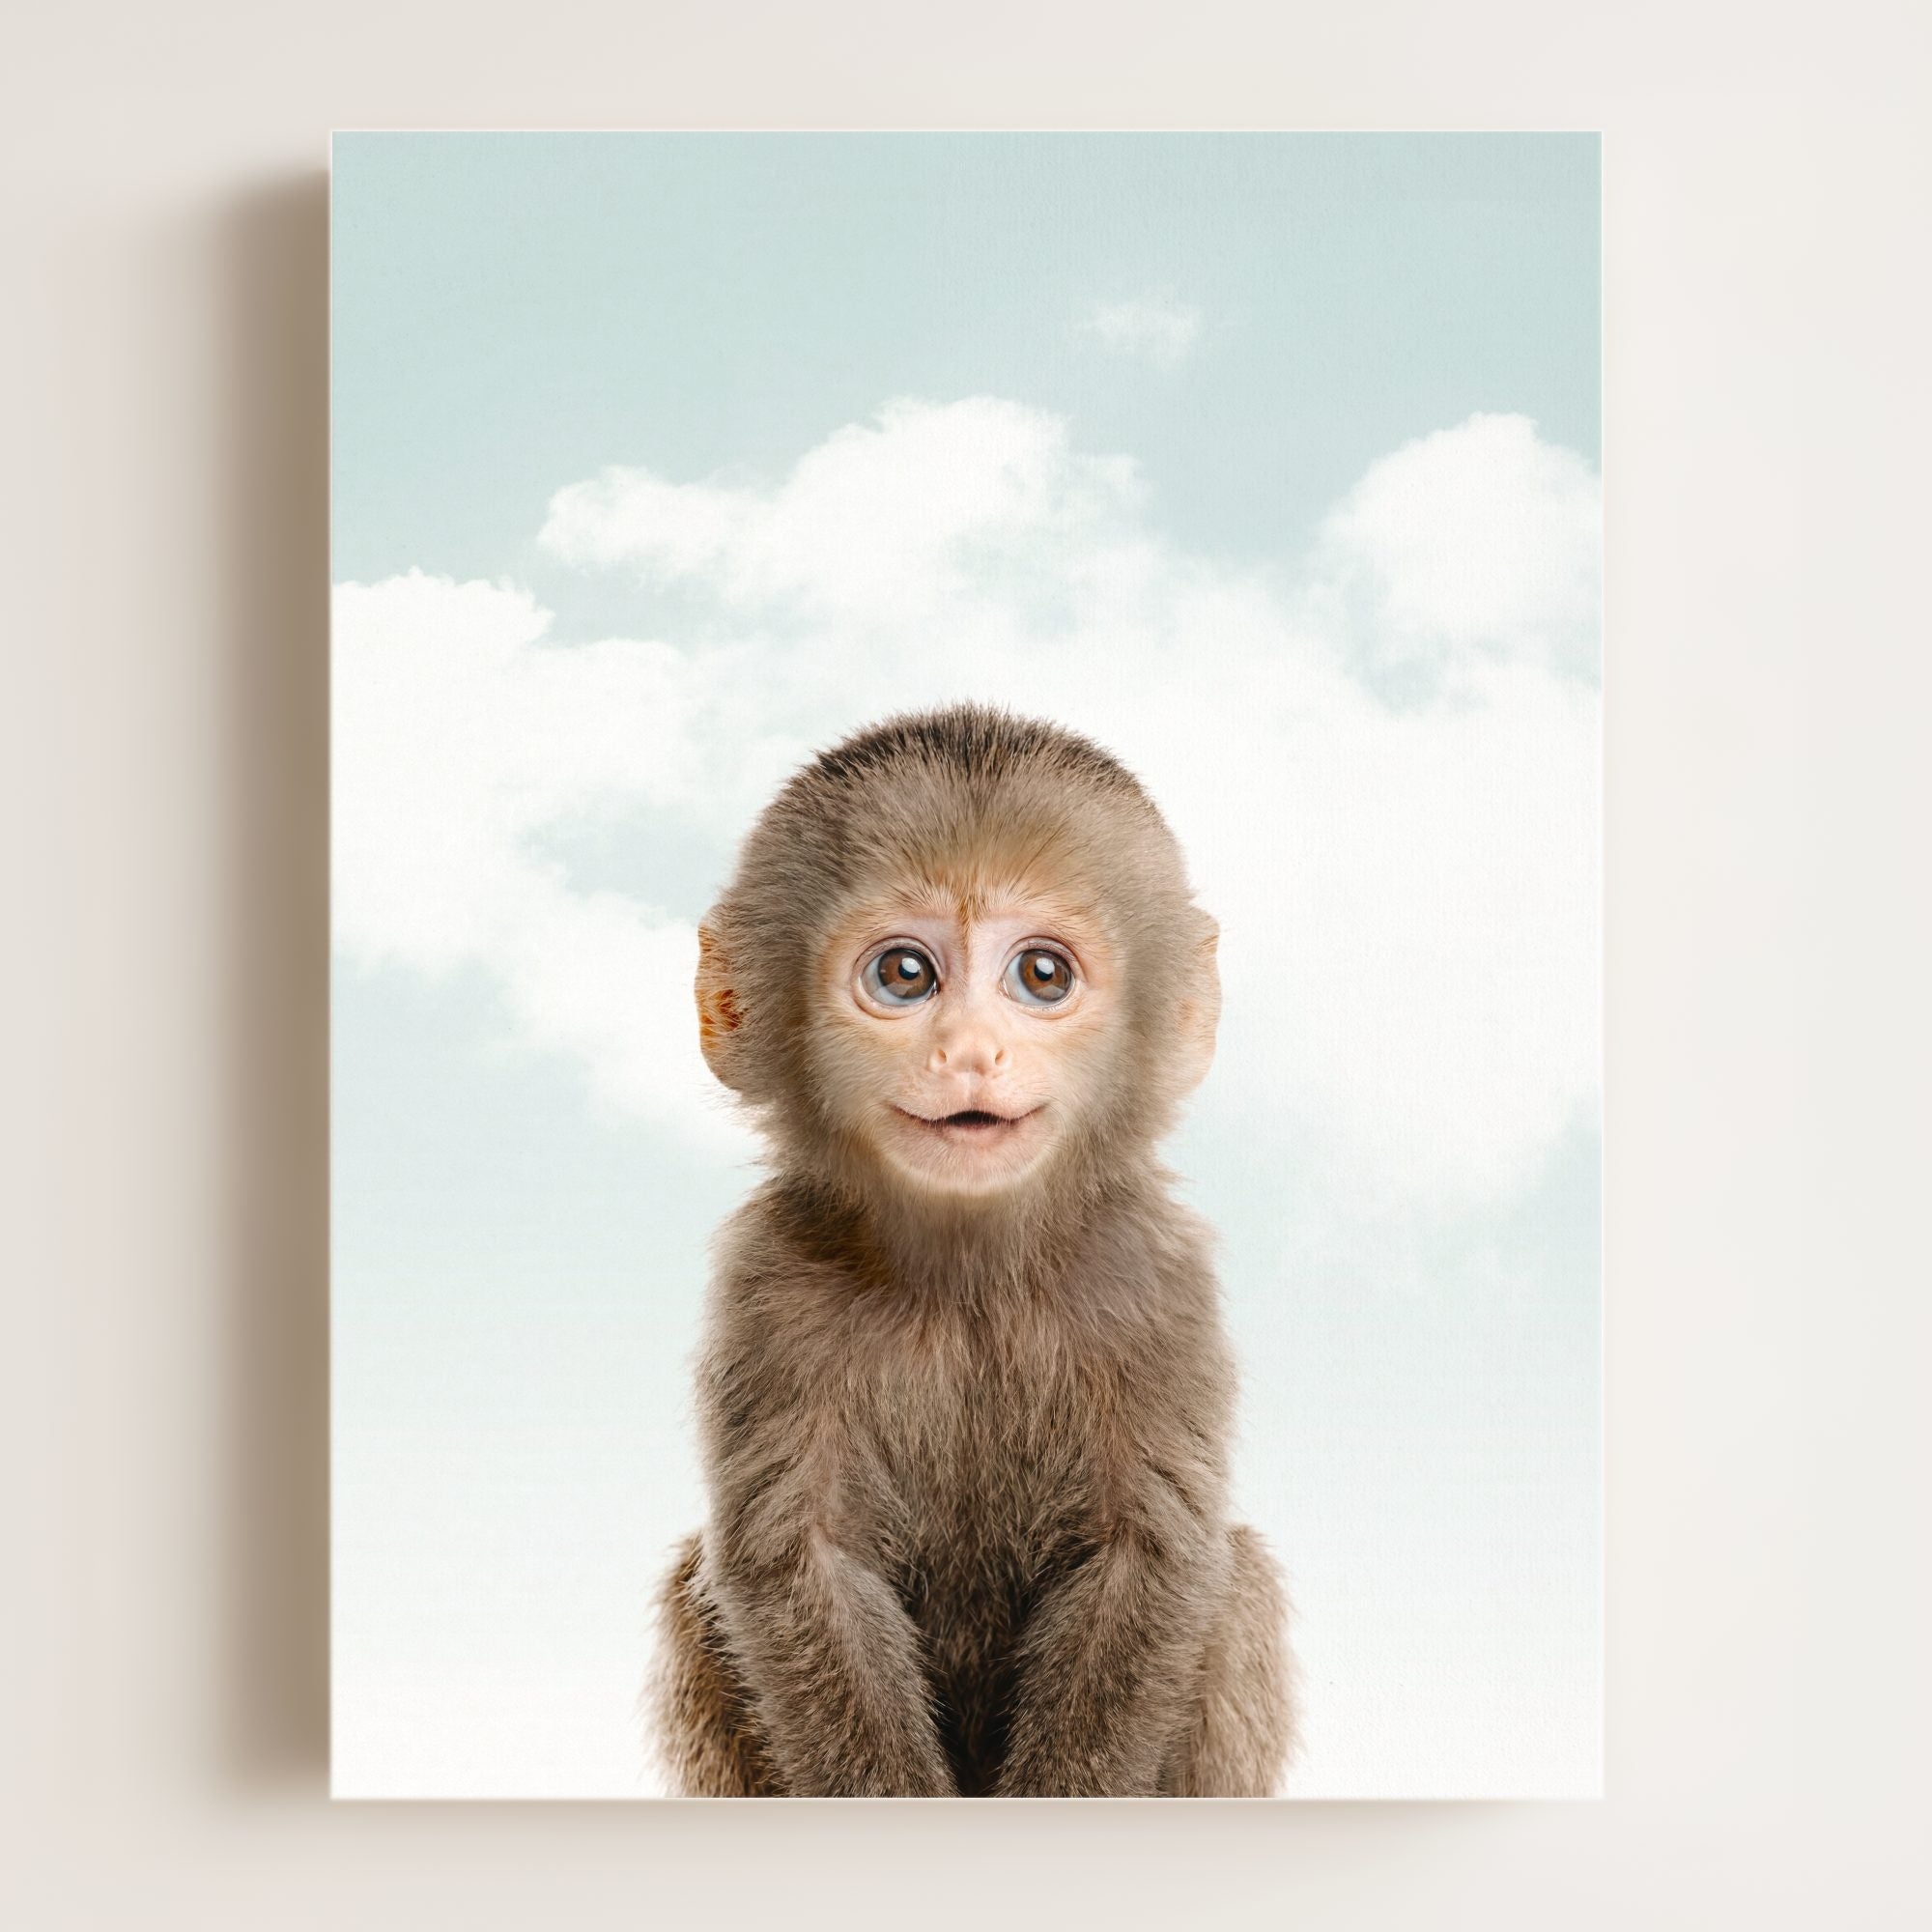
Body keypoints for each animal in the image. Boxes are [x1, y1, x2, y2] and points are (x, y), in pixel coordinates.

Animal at [649, 704, 1294, 1797]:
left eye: (1041, 974)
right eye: (904, 974)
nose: (969, 1053)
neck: (970, 1278)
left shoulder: (1155, 1278)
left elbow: (1149, 1557)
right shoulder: (769, 1281)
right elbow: (798, 1563)